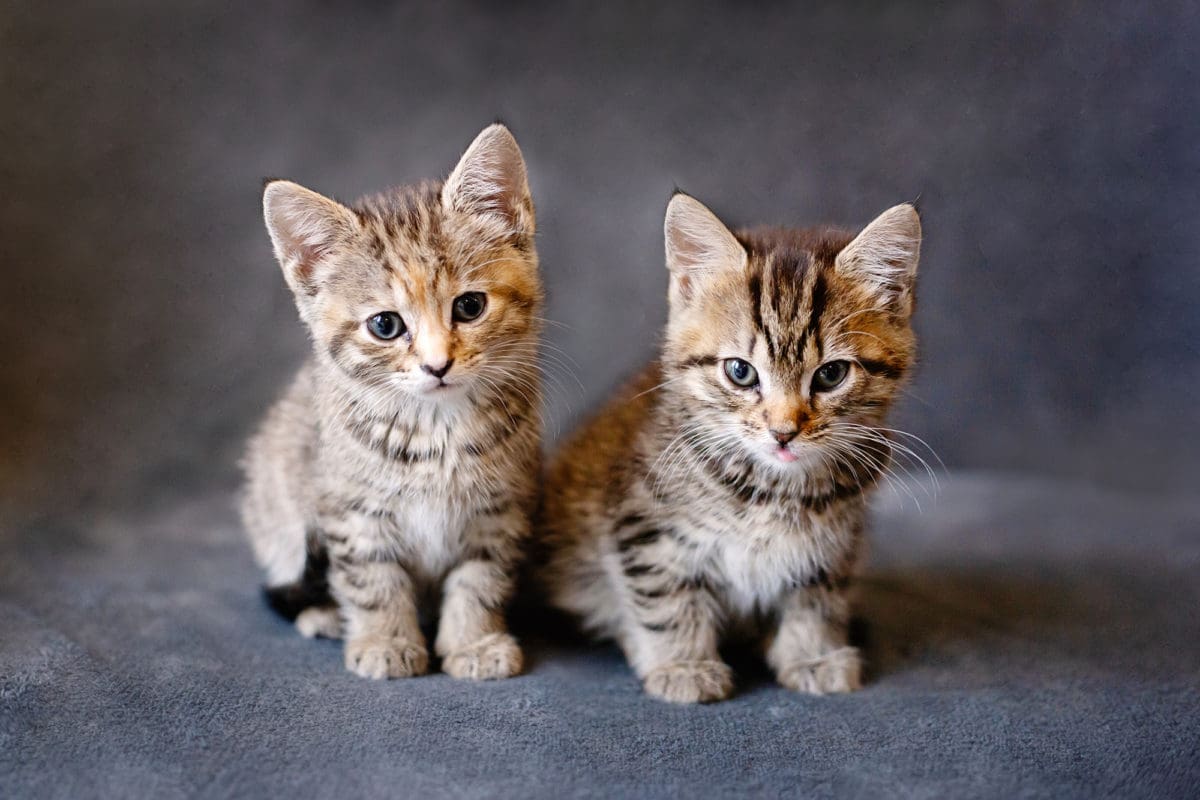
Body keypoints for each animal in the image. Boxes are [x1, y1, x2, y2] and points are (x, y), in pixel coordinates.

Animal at [241, 125, 542, 681]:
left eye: (470, 306)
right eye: (385, 325)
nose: (437, 364)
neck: (438, 428)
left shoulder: (501, 508)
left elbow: (480, 579)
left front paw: (473, 643)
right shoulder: (352, 511)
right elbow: (373, 581)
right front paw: (385, 639)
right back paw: (324, 615)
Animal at [540, 191, 921, 700]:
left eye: (831, 374)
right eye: (740, 372)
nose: (783, 431)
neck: (772, 489)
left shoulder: (835, 541)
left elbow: (817, 594)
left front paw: (813, 654)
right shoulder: (643, 526)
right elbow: (665, 597)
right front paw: (684, 664)